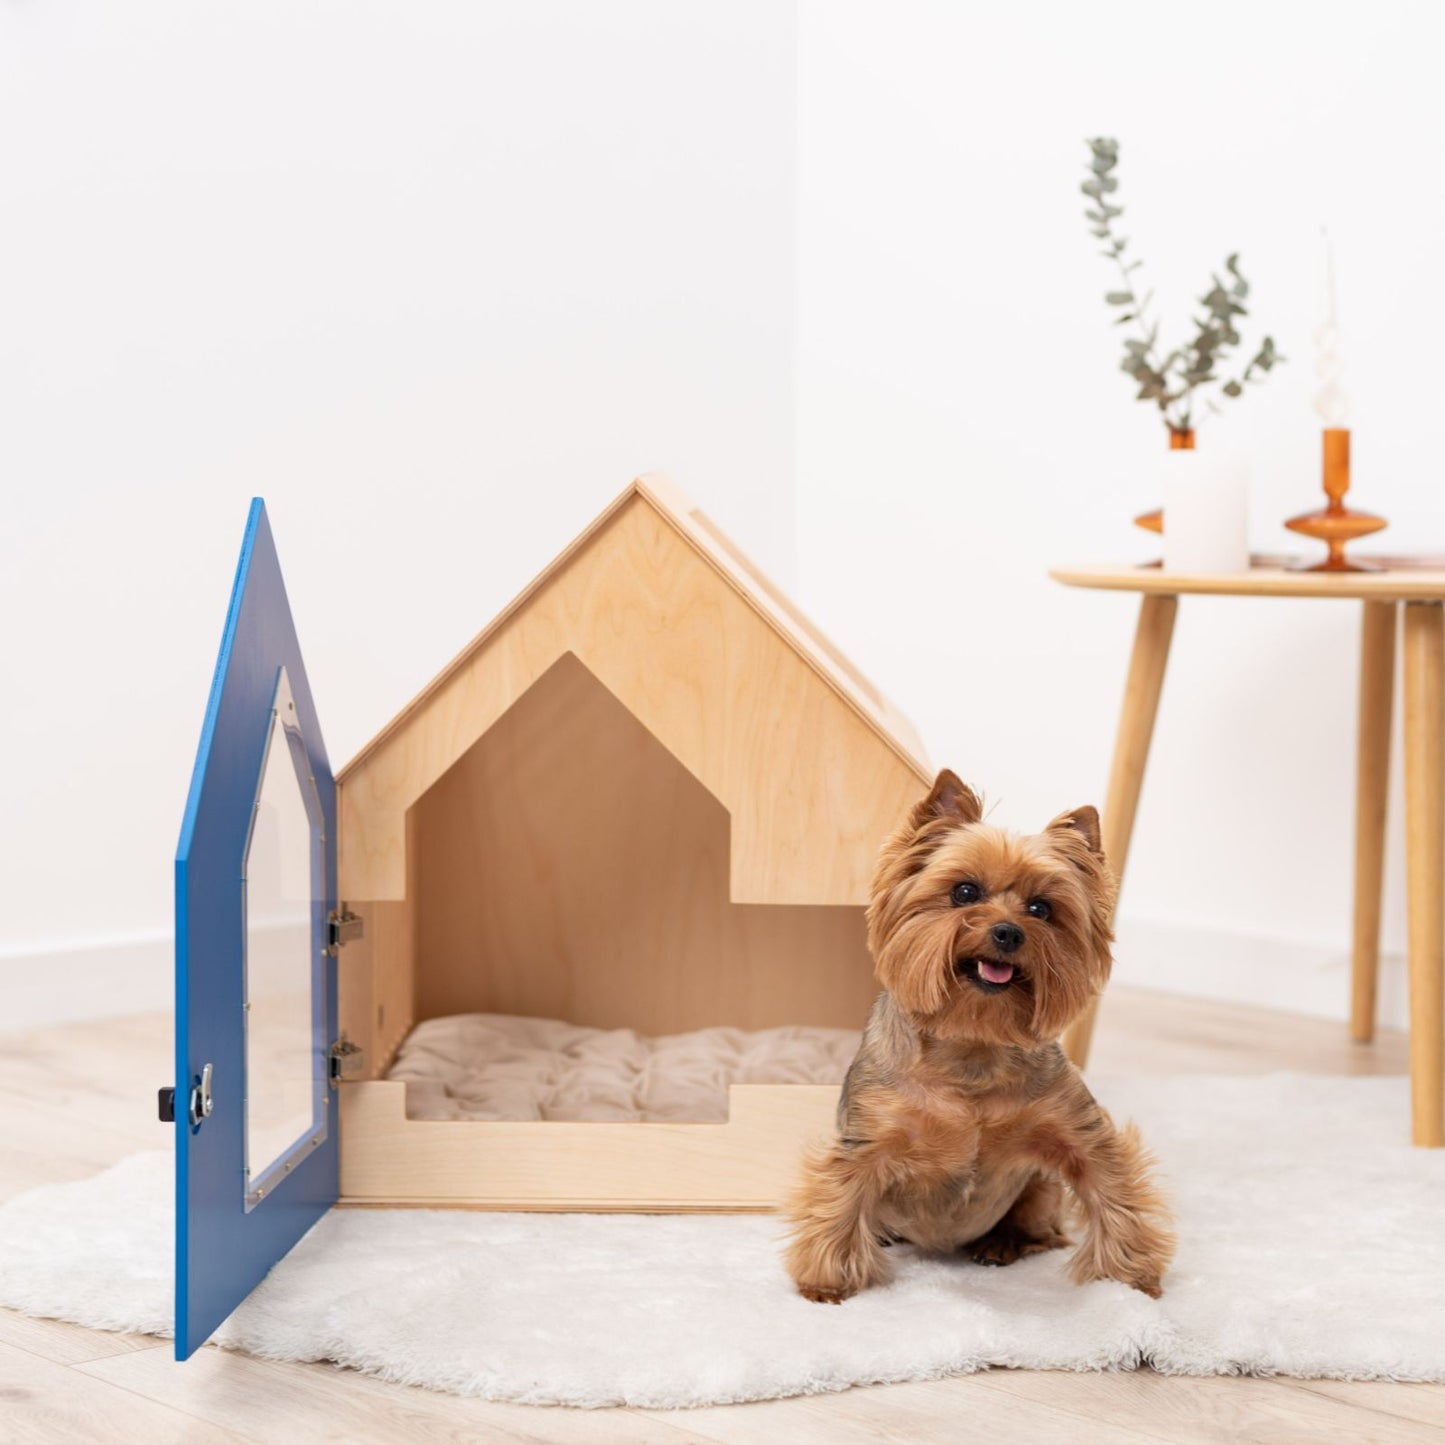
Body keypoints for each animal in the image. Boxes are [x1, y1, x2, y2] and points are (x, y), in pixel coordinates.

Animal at [791, 774, 1173, 1306]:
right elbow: (841, 1200)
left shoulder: (1078, 1131)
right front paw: (825, 1284)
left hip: (1041, 1191)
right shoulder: (871, 1138)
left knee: (1045, 1227)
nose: (1008, 932)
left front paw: (1133, 1281)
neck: (974, 1043)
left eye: (1041, 908)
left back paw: (1003, 1242)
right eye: (964, 891)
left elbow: (1113, 1191)